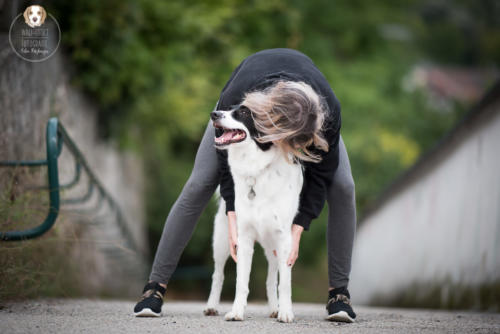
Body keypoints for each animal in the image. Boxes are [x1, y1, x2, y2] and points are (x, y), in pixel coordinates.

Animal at [204, 103, 304, 322]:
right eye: (229, 108)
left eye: (243, 112)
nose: (214, 114)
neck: (256, 169)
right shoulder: (243, 239)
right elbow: (241, 282)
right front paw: (236, 311)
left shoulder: (285, 241)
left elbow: (284, 283)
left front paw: (285, 312)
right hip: (222, 241)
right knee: (218, 274)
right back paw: (211, 306)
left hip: (273, 247)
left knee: (271, 279)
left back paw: (275, 308)